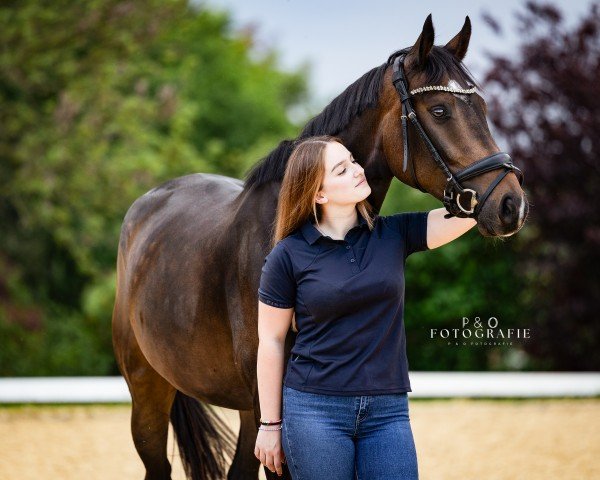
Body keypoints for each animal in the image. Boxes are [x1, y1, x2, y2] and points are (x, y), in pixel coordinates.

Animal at [112, 15, 528, 480]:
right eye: (440, 110)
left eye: (484, 110)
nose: (511, 205)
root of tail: (148, 204)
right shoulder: (273, 412)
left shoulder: (263, 408)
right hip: (150, 391)